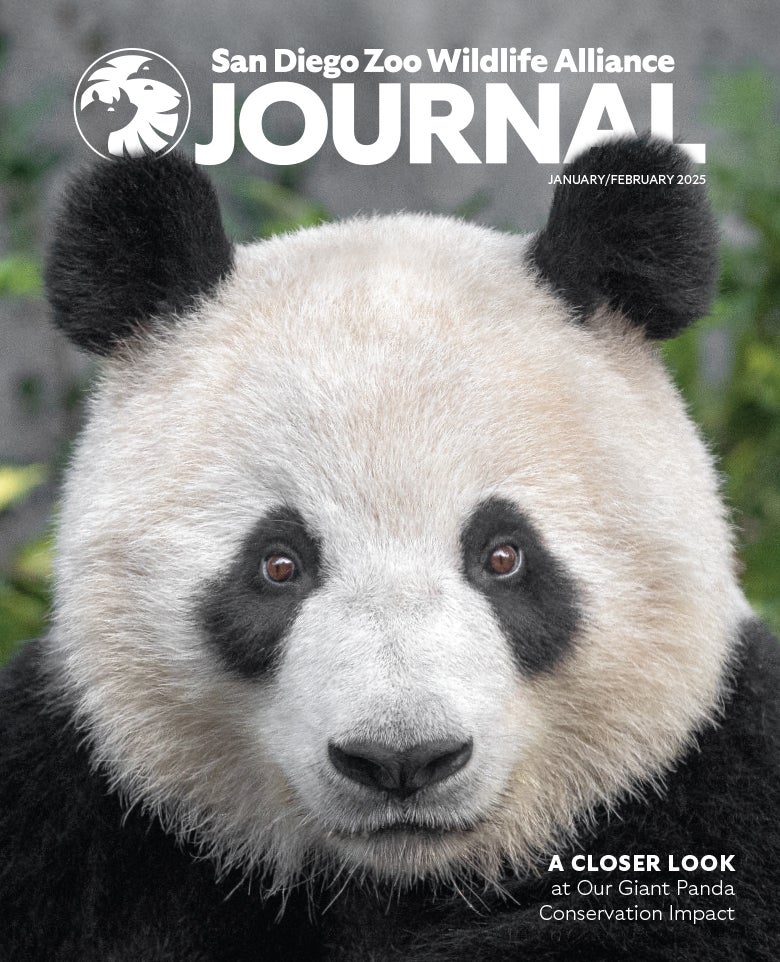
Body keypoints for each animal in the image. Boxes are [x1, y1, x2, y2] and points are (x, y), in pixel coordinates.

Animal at [0, 136, 777, 962]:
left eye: (503, 556)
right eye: (279, 564)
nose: (402, 759)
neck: (398, 883)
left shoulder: (720, 787)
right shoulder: (72, 808)